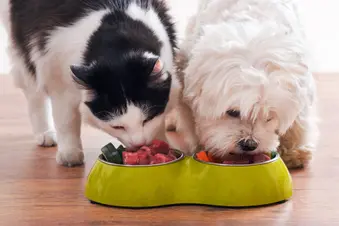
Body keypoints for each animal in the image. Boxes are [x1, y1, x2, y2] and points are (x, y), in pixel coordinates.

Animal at [0, 0, 181, 166]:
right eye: (117, 127)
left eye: (147, 119)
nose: (139, 144)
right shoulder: (59, 78)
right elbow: (66, 120)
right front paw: (70, 154)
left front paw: (161, 143)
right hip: (25, 52)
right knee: (34, 94)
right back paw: (45, 133)